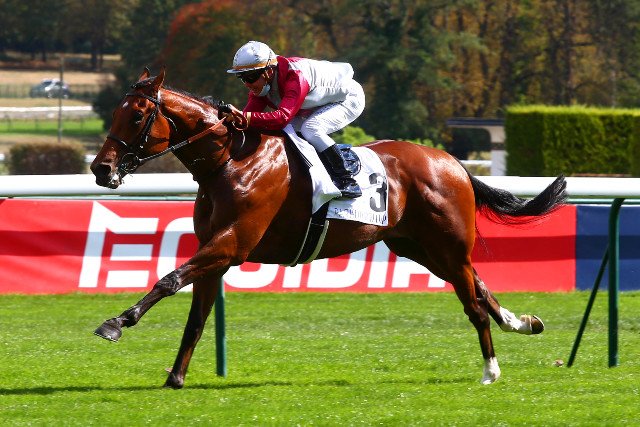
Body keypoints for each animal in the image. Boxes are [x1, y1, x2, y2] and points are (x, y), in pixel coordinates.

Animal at [90, 68, 566, 389]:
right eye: (115, 112)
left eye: (137, 117)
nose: (101, 169)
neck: (230, 160)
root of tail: (453, 163)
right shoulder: (216, 252)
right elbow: (196, 317)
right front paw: (175, 376)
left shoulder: (232, 244)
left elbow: (169, 280)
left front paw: (117, 322)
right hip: (419, 247)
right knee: (478, 286)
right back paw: (521, 323)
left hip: (445, 244)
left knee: (472, 303)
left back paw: (490, 369)